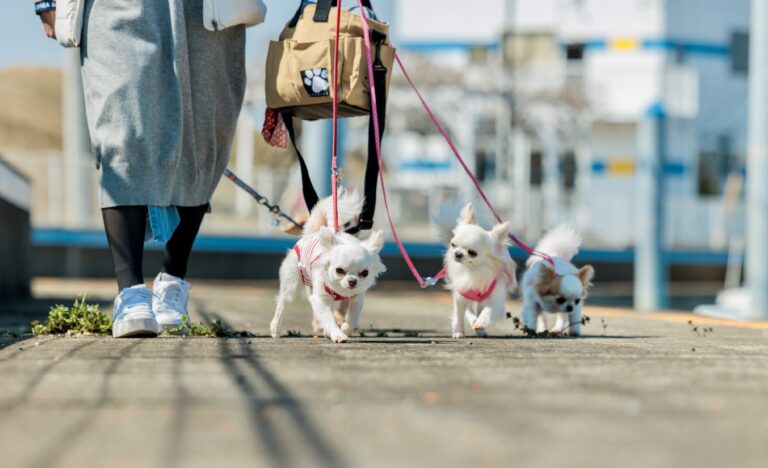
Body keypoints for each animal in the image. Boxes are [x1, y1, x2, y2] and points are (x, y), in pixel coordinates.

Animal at [444, 203, 516, 338]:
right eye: (453, 245)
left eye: (472, 252)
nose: (457, 254)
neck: (473, 270)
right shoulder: (461, 295)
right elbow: (460, 315)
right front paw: (458, 331)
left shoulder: (497, 301)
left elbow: (488, 310)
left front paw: (481, 322)